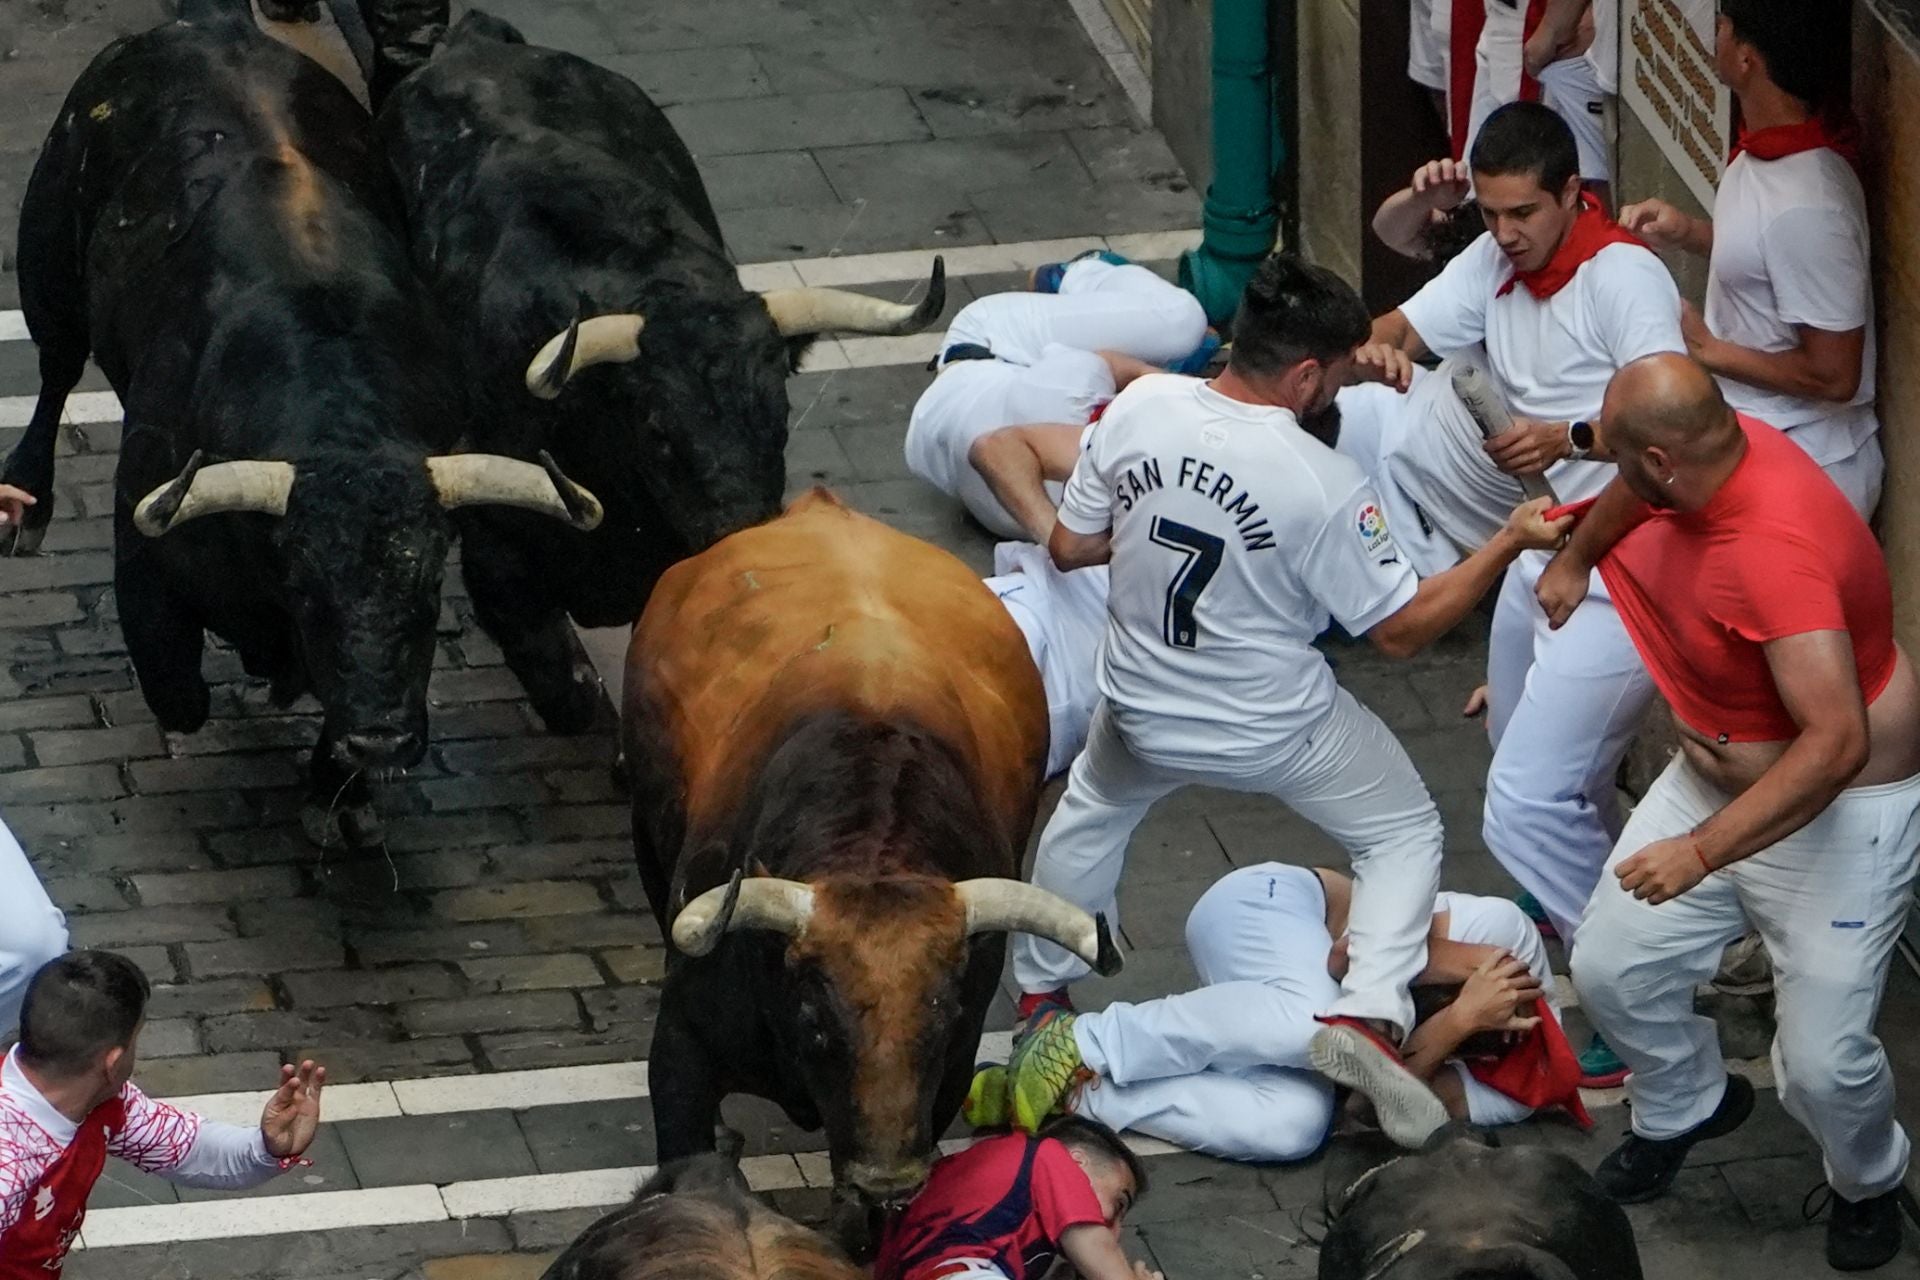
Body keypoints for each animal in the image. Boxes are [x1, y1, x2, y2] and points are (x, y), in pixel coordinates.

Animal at [1, 14, 599, 852]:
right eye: (308, 589)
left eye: (428, 591)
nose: (380, 740)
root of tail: (201, 25)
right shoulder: (145, 551)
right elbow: (178, 690)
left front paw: (337, 790)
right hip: (47, 254)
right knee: (55, 366)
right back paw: (24, 500)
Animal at [376, 10, 944, 736]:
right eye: (659, 432)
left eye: (781, 416)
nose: (742, 542)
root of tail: (475, 40)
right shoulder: (500, 563)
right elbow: (567, 694)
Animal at [622, 487, 1121, 1243]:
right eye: (815, 1015)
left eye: (942, 1014)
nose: (886, 1179)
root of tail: (820, 507)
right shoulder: (681, 1050)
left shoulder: (949, 1076)